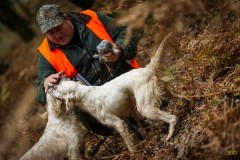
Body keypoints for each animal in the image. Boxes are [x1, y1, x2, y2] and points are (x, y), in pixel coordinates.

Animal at [48, 33, 176, 152]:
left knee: (172, 118)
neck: (86, 95)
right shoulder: (127, 114)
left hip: (145, 108)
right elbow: (139, 127)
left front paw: (135, 153)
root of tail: (147, 69)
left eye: (58, 88)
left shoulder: (118, 123)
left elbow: (129, 144)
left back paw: (168, 137)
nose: (48, 88)